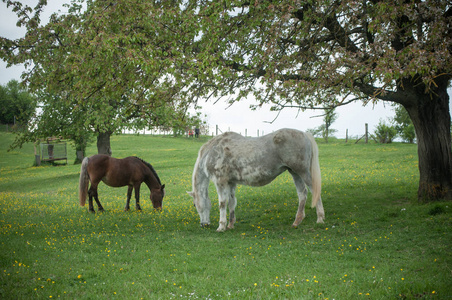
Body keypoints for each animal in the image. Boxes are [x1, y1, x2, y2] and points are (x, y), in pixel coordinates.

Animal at [187, 127, 324, 232]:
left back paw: (320, 218)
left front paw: (221, 227)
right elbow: (232, 202)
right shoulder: (231, 183)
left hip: (302, 172)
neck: (212, 151)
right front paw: (230, 225)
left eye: (194, 204)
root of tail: (305, 134)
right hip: (295, 173)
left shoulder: (221, 182)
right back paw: (297, 221)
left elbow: (222, 203)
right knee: (302, 194)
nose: (204, 224)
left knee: (314, 191)